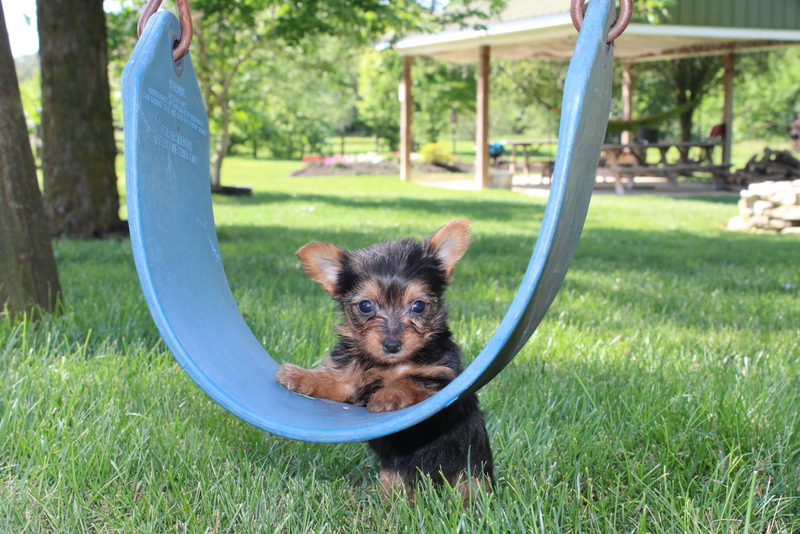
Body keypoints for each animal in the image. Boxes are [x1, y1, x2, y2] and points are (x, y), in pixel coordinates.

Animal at [276, 222, 494, 498]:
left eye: (418, 306)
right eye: (366, 306)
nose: (391, 345)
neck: (388, 365)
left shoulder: (442, 378)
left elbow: (411, 379)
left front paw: (387, 396)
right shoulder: (349, 379)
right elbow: (331, 381)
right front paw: (297, 376)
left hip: (471, 469)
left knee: (470, 488)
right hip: (394, 474)